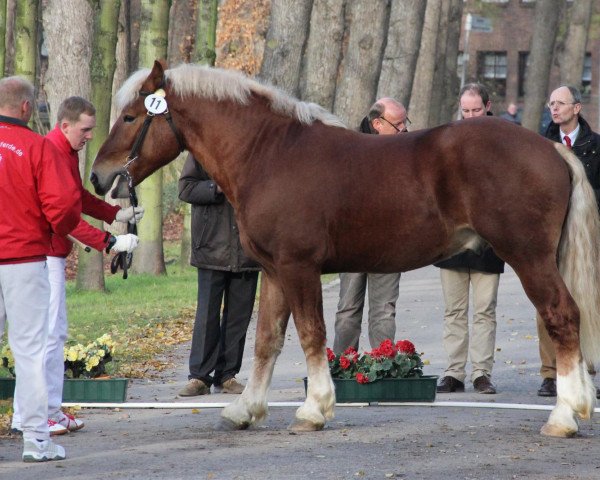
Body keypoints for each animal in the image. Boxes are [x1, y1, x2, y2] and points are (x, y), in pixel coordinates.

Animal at [91, 62, 600, 436]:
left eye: (131, 117)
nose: (98, 175)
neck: (268, 154)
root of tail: (553, 149)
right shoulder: (273, 271)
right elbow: (266, 340)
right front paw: (246, 410)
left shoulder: (299, 267)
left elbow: (311, 334)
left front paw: (313, 410)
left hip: (529, 258)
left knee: (562, 316)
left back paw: (563, 417)